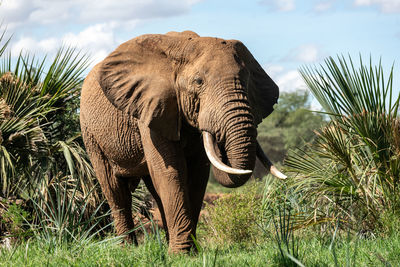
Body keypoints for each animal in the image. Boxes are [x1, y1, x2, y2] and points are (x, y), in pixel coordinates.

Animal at [79, 30, 286, 253]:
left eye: (246, 80)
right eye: (199, 82)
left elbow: (197, 173)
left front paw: (189, 252)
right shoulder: (152, 108)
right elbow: (171, 171)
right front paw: (182, 254)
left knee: (154, 189)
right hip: (90, 134)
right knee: (115, 189)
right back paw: (127, 248)